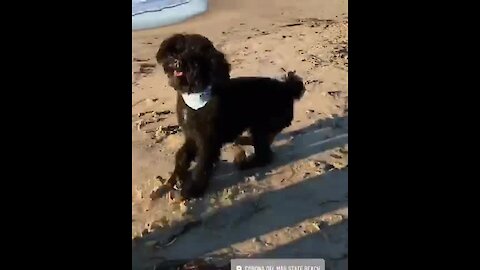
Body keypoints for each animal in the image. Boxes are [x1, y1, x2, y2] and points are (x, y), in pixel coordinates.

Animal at [156, 33, 306, 199]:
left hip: (262, 124)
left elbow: (203, 165)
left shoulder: (208, 140)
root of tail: (287, 88)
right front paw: (176, 177)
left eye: (196, 57)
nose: (177, 62)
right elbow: (182, 156)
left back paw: (246, 162)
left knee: (265, 154)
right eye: (179, 49)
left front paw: (193, 189)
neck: (195, 95)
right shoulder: (192, 135)